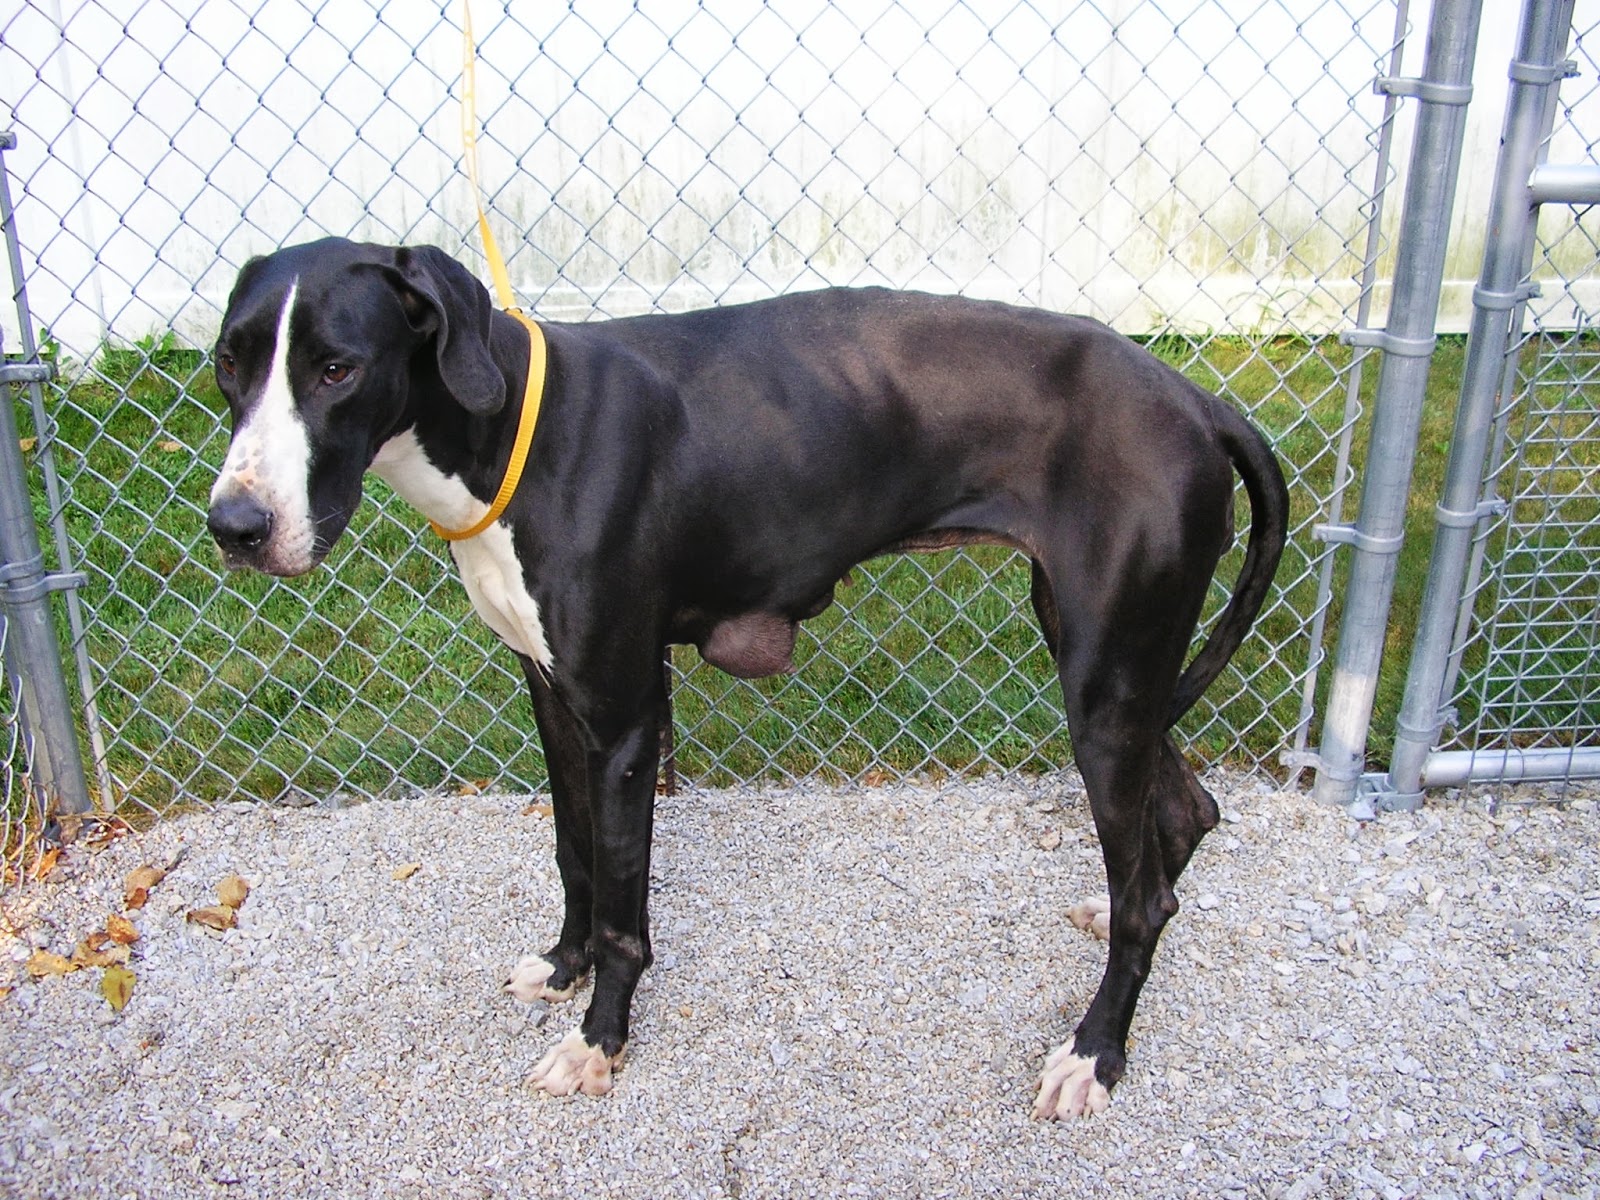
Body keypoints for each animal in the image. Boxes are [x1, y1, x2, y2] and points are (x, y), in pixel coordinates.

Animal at [209, 240, 1286, 1126]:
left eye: (337, 368)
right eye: (229, 363)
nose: (234, 527)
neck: (514, 430)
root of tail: (1200, 401)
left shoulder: (625, 716)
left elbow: (624, 907)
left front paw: (599, 1041)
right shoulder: (551, 696)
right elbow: (573, 855)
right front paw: (562, 968)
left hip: (1104, 684)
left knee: (1147, 883)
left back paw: (1095, 1050)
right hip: (1109, 663)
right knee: (1180, 816)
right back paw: (1125, 907)